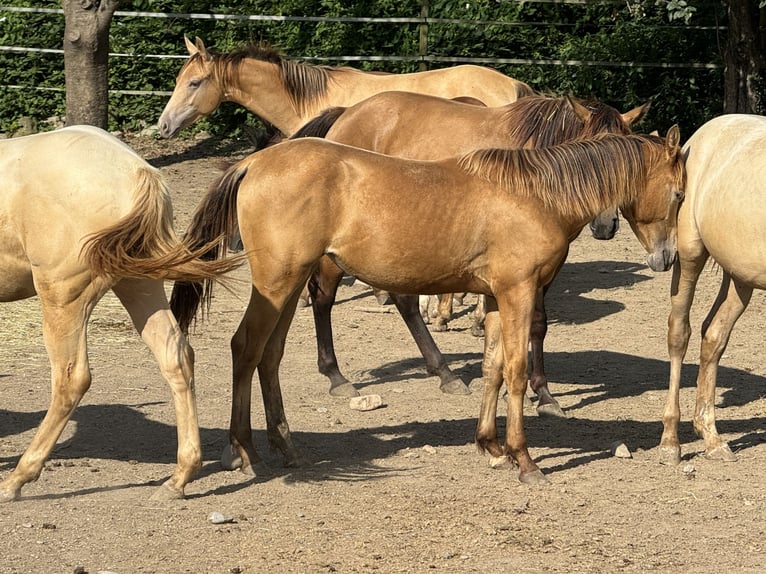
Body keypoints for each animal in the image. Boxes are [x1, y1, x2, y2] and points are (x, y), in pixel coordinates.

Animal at [0, 126, 242, 503]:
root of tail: (136, 170)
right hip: (138, 284)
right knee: (176, 356)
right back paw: (179, 479)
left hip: (64, 299)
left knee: (71, 379)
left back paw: (17, 479)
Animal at [171, 128, 684, 485]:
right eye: (678, 193)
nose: (667, 258)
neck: (535, 195)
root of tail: (254, 162)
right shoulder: (518, 292)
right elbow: (517, 371)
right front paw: (523, 459)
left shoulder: (495, 297)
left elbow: (493, 368)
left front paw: (490, 447)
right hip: (277, 283)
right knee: (245, 349)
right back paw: (244, 451)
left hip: (291, 284)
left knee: (270, 356)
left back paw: (287, 447)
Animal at [290, 91, 650, 414]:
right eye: (591, 149)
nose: (605, 225)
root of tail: (347, 113)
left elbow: (538, 324)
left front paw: (543, 393)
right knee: (323, 296)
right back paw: (336, 375)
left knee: (404, 301)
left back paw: (444, 373)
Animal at [659, 114, 766, 465]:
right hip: (690, 256)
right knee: (680, 333)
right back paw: (670, 443)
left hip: (740, 275)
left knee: (713, 336)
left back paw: (711, 436)